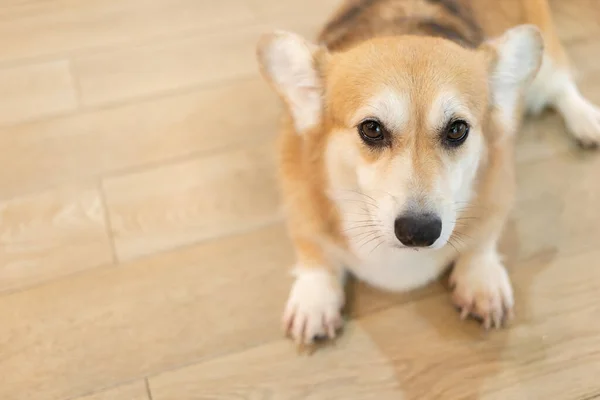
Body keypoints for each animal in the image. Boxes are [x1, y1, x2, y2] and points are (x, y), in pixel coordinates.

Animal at [254, 0, 600, 344]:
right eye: (372, 129)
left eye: (457, 129)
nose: (419, 232)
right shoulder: (300, 205)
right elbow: (313, 251)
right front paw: (314, 298)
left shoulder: (498, 192)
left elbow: (483, 241)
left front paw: (481, 279)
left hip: (546, 65)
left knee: (561, 85)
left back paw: (587, 120)